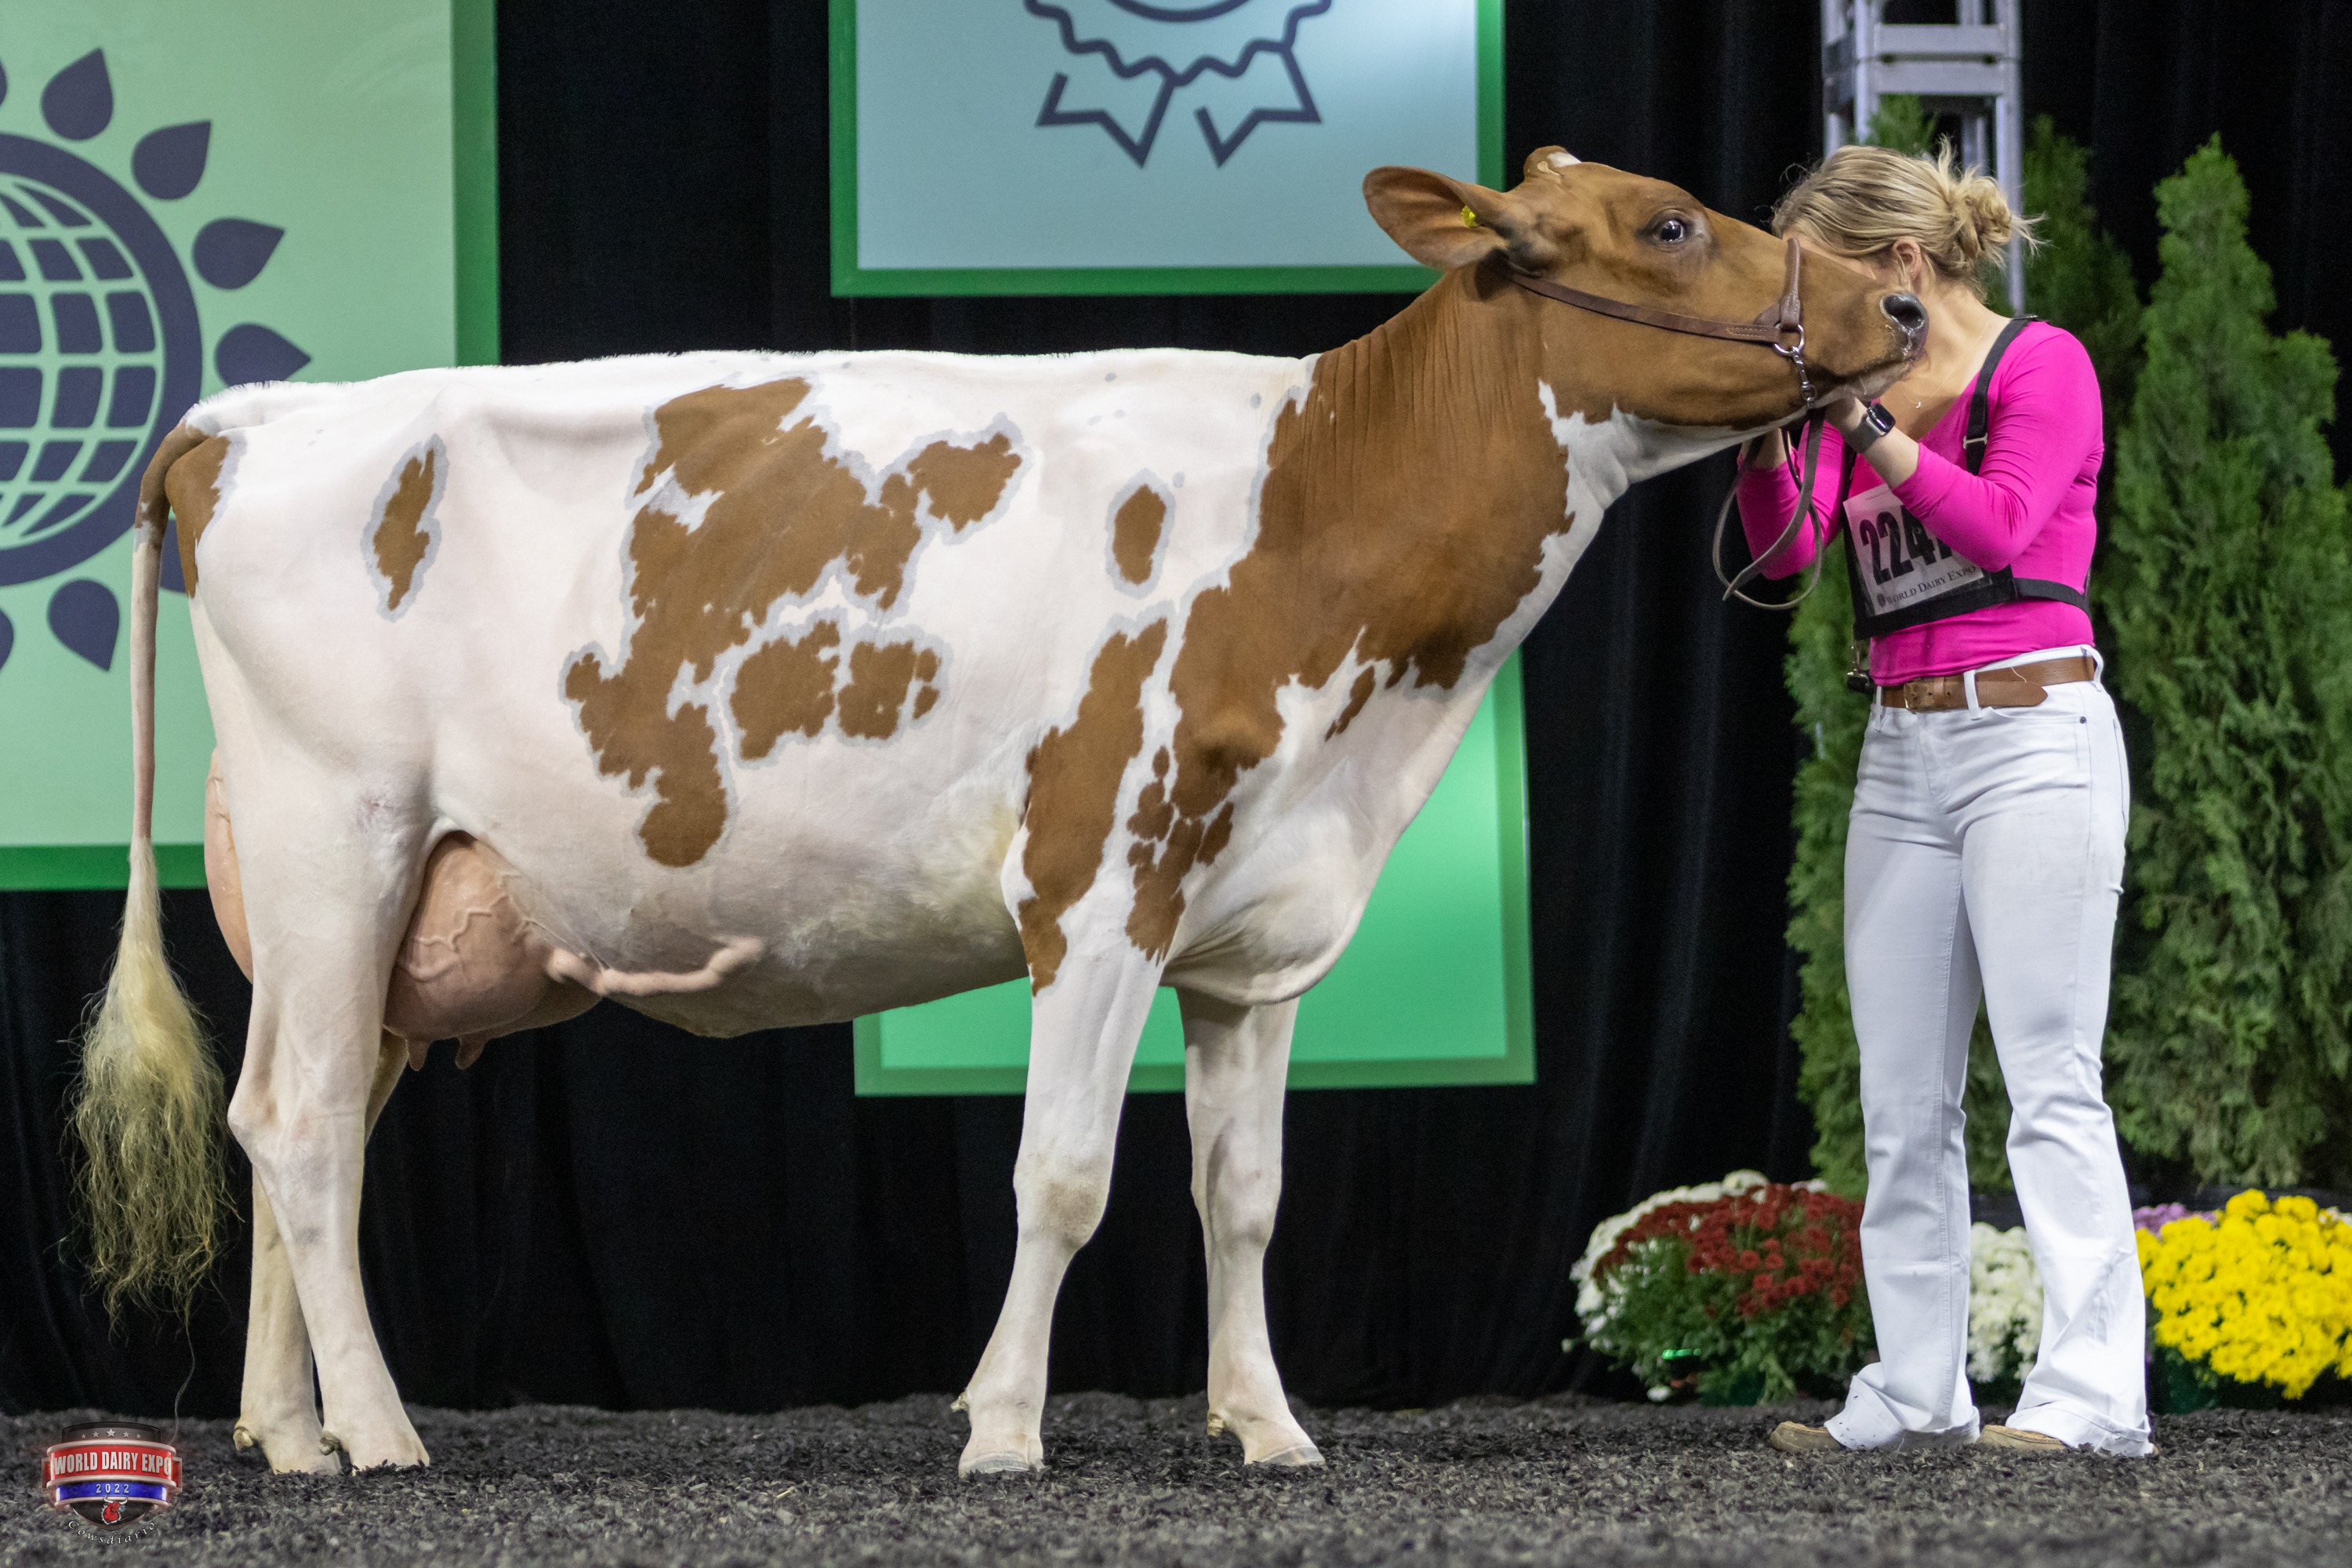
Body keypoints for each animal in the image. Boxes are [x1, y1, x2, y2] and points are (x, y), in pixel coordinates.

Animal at [71, 149, 1918, 1478]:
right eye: (1670, 222)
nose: (1902, 306)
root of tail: (261, 418)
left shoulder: (1257, 930)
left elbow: (1242, 1193)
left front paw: (1269, 1426)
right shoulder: (1102, 880)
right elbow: (1066, 1175)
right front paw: (1007, 1427)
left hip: (385, 909)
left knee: (284, 1121)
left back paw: (290, 1432)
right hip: (339, 838)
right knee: (304, 1128)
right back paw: (379, 1439)